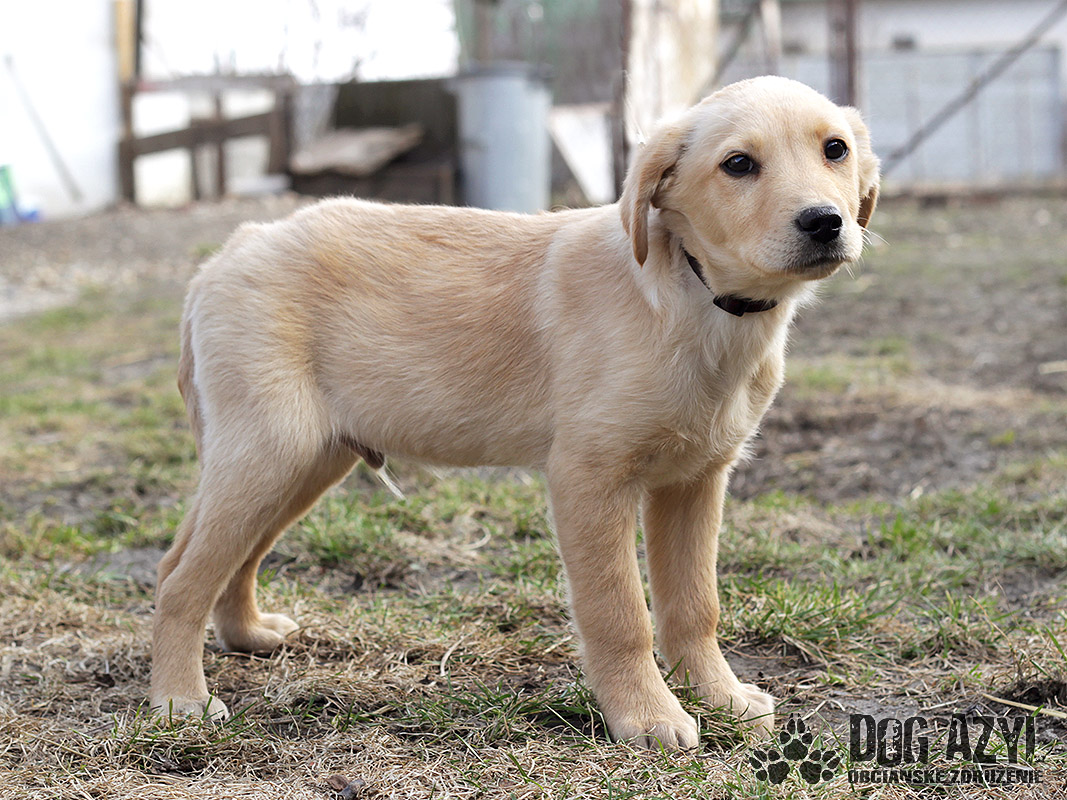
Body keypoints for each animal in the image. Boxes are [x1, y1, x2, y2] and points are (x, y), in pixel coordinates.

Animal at [151, 76, 879, 750]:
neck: (695, 298)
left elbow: (694, 605)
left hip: (307, 461)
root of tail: (232, 249)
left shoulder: (696, 479)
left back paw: (246, 635)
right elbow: (620, 612)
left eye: (834, 150)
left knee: (211, 559)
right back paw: (180, 700)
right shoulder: (589, 478)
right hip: (271, 451)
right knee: (181, 578)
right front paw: (646, 717)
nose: (823, 222)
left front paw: (722, 698)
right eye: (738, 164)